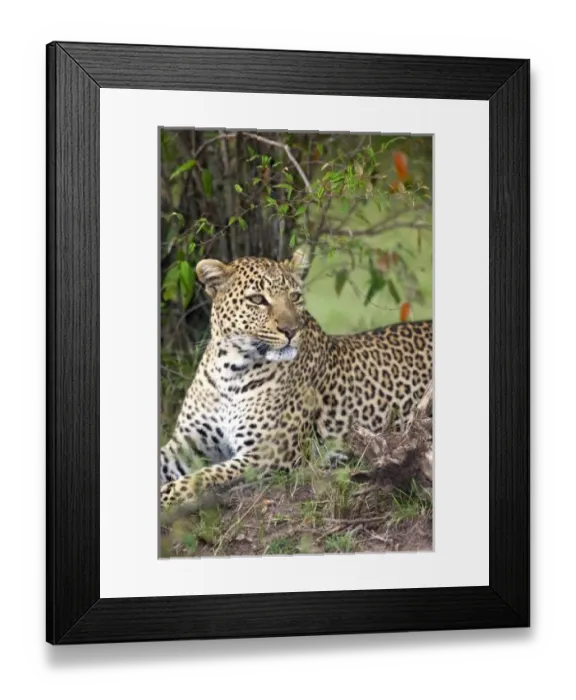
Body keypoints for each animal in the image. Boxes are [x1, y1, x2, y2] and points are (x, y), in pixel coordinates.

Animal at [159, 250, 432, 510]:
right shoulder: (185, 445)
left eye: (295, 296)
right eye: (257, 299)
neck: (231, 370)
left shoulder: (267, 454)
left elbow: (203, 476)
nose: (291, 330)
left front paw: (164, 496)